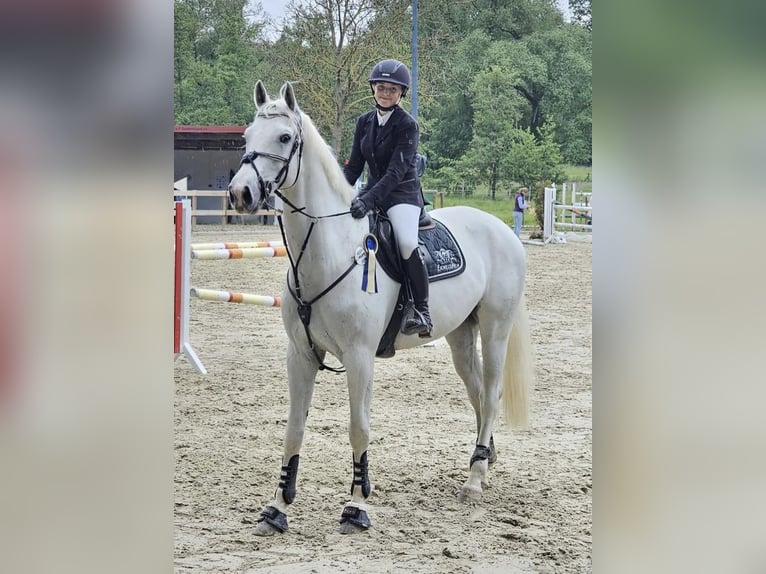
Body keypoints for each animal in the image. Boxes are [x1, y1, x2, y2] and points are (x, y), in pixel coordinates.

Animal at [231, 82, 536, 540]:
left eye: (284, 138)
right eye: (247, 137)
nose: (241, 194)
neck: (329, 249)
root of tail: (501, 229)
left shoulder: (359, 357)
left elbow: (359, 428)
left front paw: (356, 506)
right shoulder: (300, 355)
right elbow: (293, 429)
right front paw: (276, 508)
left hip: (495, 328)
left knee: (493, 391)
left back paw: (475, 479)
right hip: (460, 336)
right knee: (479, 393)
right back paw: (484, 457)